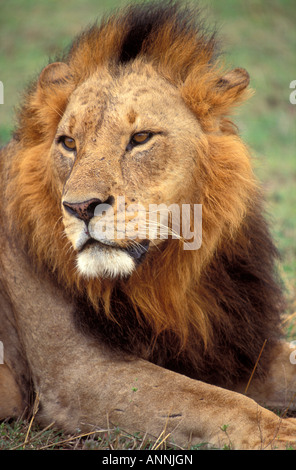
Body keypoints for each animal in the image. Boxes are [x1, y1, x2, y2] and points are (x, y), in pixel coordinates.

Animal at [0, 0, 296, 448]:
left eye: (140, 138)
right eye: (68, 143)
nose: (80, 207)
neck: (169, 277)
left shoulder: (225, 345)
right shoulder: (73, 373)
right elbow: (216, 401)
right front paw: (284, 433)